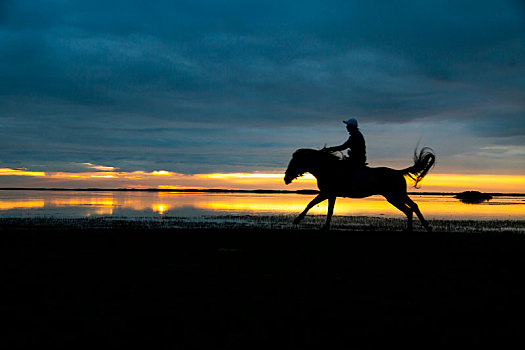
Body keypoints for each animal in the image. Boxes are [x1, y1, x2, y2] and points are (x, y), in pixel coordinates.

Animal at [284, 147, 436, 231]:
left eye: (295, 162)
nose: (286, 178)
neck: (328, 168)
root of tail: (398, 172)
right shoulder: (330, 194)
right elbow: (326, 209)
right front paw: (324, 225)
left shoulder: (327, 193)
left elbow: (313, 204)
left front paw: (298, 220)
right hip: (397, 196)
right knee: (412, 207)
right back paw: (422, 227)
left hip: (394, 196)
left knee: (409, 209)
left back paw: (415, 227)